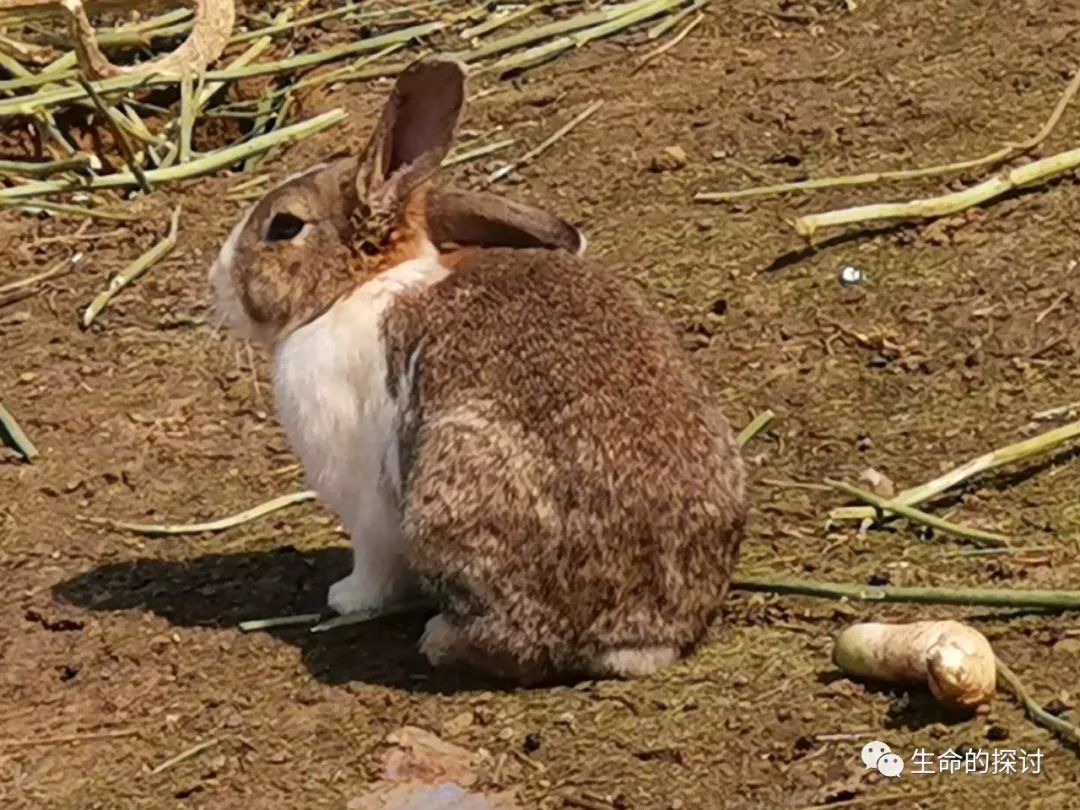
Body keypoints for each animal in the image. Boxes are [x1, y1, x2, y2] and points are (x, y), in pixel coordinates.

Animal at [210, 57, 751, 686]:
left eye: (283, 226)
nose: (216, 282)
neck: (355, 287)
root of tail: (644, 637)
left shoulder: (364, 503)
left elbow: (373, 567)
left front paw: (344, 598)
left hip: (451, 488)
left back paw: (440, 639)